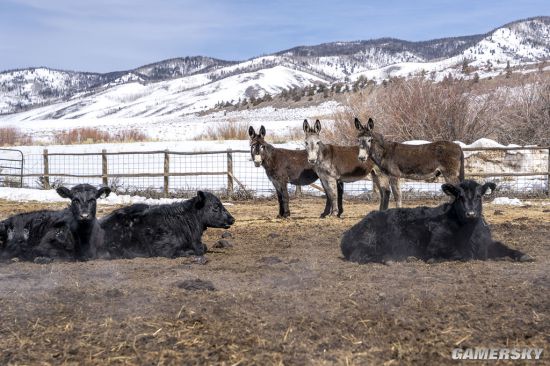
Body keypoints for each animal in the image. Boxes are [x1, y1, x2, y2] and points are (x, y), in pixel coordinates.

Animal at [342, 180, 532, 264]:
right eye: (459, 196)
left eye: (479, 196)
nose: (471, 213)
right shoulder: (436, 245)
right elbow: (460, 255)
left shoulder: (486, 245)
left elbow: (503, 248)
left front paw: (523, 255)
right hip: (370, 241)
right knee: (359, 256)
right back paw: (390, 258)